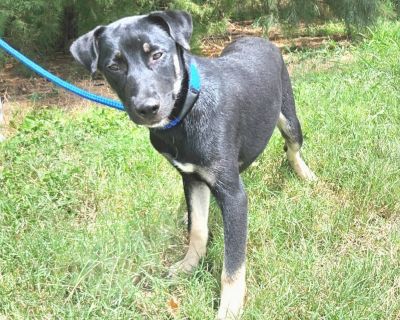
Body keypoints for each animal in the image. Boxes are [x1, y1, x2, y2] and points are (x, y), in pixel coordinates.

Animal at [70, 9, 318, 318]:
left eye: (157, 55)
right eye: (113, 66)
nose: (147, 108)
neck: (186, 112)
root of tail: (258, 37)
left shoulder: (233, 195)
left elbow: (233, 263)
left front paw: (229, 307)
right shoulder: (191, 177)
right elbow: (197, 229)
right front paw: (188, 266)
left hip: (289, 116)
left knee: (293, 148)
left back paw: (306, 175)